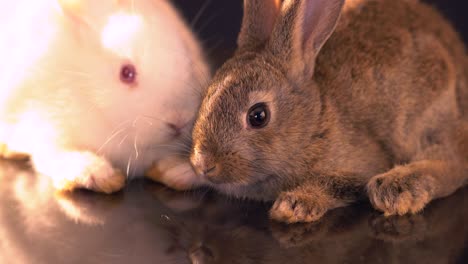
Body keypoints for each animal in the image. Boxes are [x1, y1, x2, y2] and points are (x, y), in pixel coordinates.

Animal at [189, 0, 468, 223]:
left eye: (258, 116)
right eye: (206, 97)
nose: (203, 165)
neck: (314, 124)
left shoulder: (363, 163)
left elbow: (336, 183)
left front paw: (293, 206)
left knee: (455, 160)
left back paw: (397, 187)